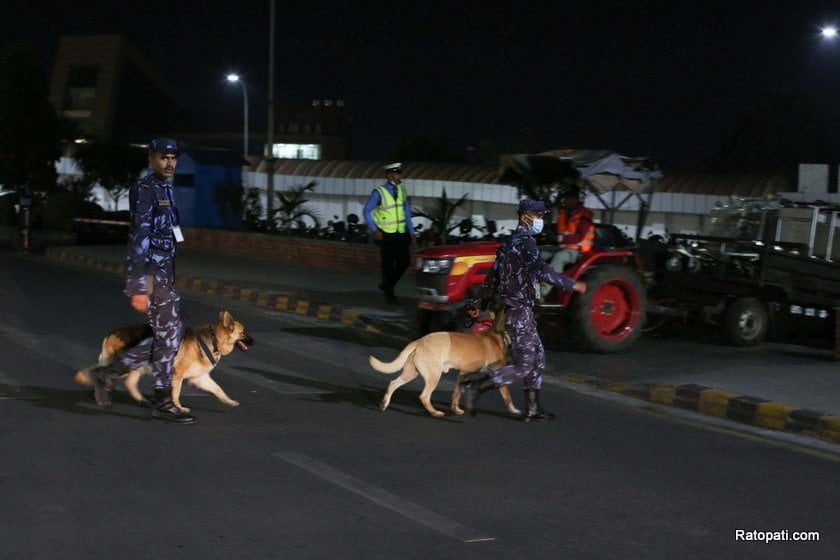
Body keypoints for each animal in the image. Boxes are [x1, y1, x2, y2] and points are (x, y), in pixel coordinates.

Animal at [75, 310, 253, 412]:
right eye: (244, 332)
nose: (255, 342)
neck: (214, 338)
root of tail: (113, 331)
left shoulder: (200, 378)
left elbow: (218, 389)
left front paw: (228, 401)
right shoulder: (177, 375)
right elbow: (176, 393)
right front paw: (178, 407)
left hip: (138, 366)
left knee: (128, 382)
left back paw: (141, 400)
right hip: (127, 365)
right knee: (103, 376)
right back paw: (101, 398)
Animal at [90, 139, 194, 424]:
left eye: (172, 157)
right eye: (164, 156)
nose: (170, 163)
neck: (158, 182)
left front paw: (167, 403)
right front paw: (169, 405)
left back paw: (106, 380)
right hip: (159, 300)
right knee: (167, 338)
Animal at [370, 330, 520, 418]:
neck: (501, 338)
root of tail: (420, 341)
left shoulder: (463, 374)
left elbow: (457, 393)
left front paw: (455, 409)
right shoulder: (499, 376)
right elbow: (507, 396)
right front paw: (514, 410)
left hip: (411, 373)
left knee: (392, 383)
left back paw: (384, 403)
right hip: (434, 376)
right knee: (424, 396)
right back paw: (434, 412)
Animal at [456, 199, 588, 422]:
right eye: (539, 214)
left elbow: (491, 277)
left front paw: (534, 411)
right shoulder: (530, 250)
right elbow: (544, 269)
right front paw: (575, 285)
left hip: (529, 339)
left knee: (535, 362)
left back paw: (531, 410)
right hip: (523, 335)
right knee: (523, 366)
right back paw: (473, 391)